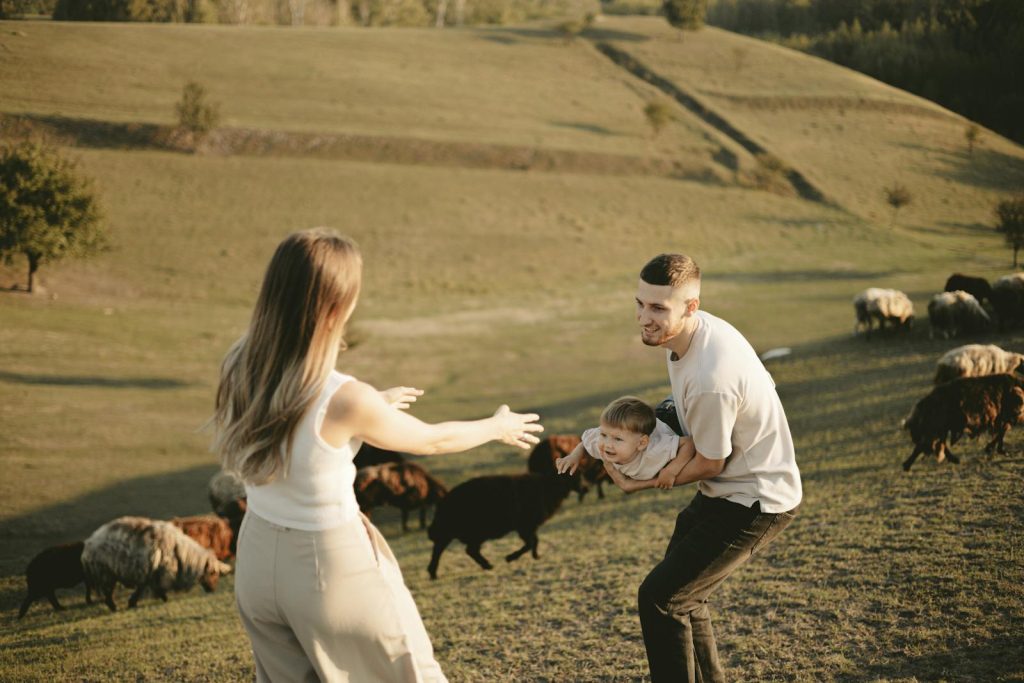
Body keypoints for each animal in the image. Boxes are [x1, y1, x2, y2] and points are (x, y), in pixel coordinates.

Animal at [82, 516, 234, 610]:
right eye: (212, 572)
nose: (213, 590)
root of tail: (89, 544)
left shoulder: (148, 573)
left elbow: (142, 588)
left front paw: (133, 602)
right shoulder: (156, 572)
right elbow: (153, 588)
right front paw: (162, 598)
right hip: (105, 572)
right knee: (108, 593)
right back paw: (113, 607)